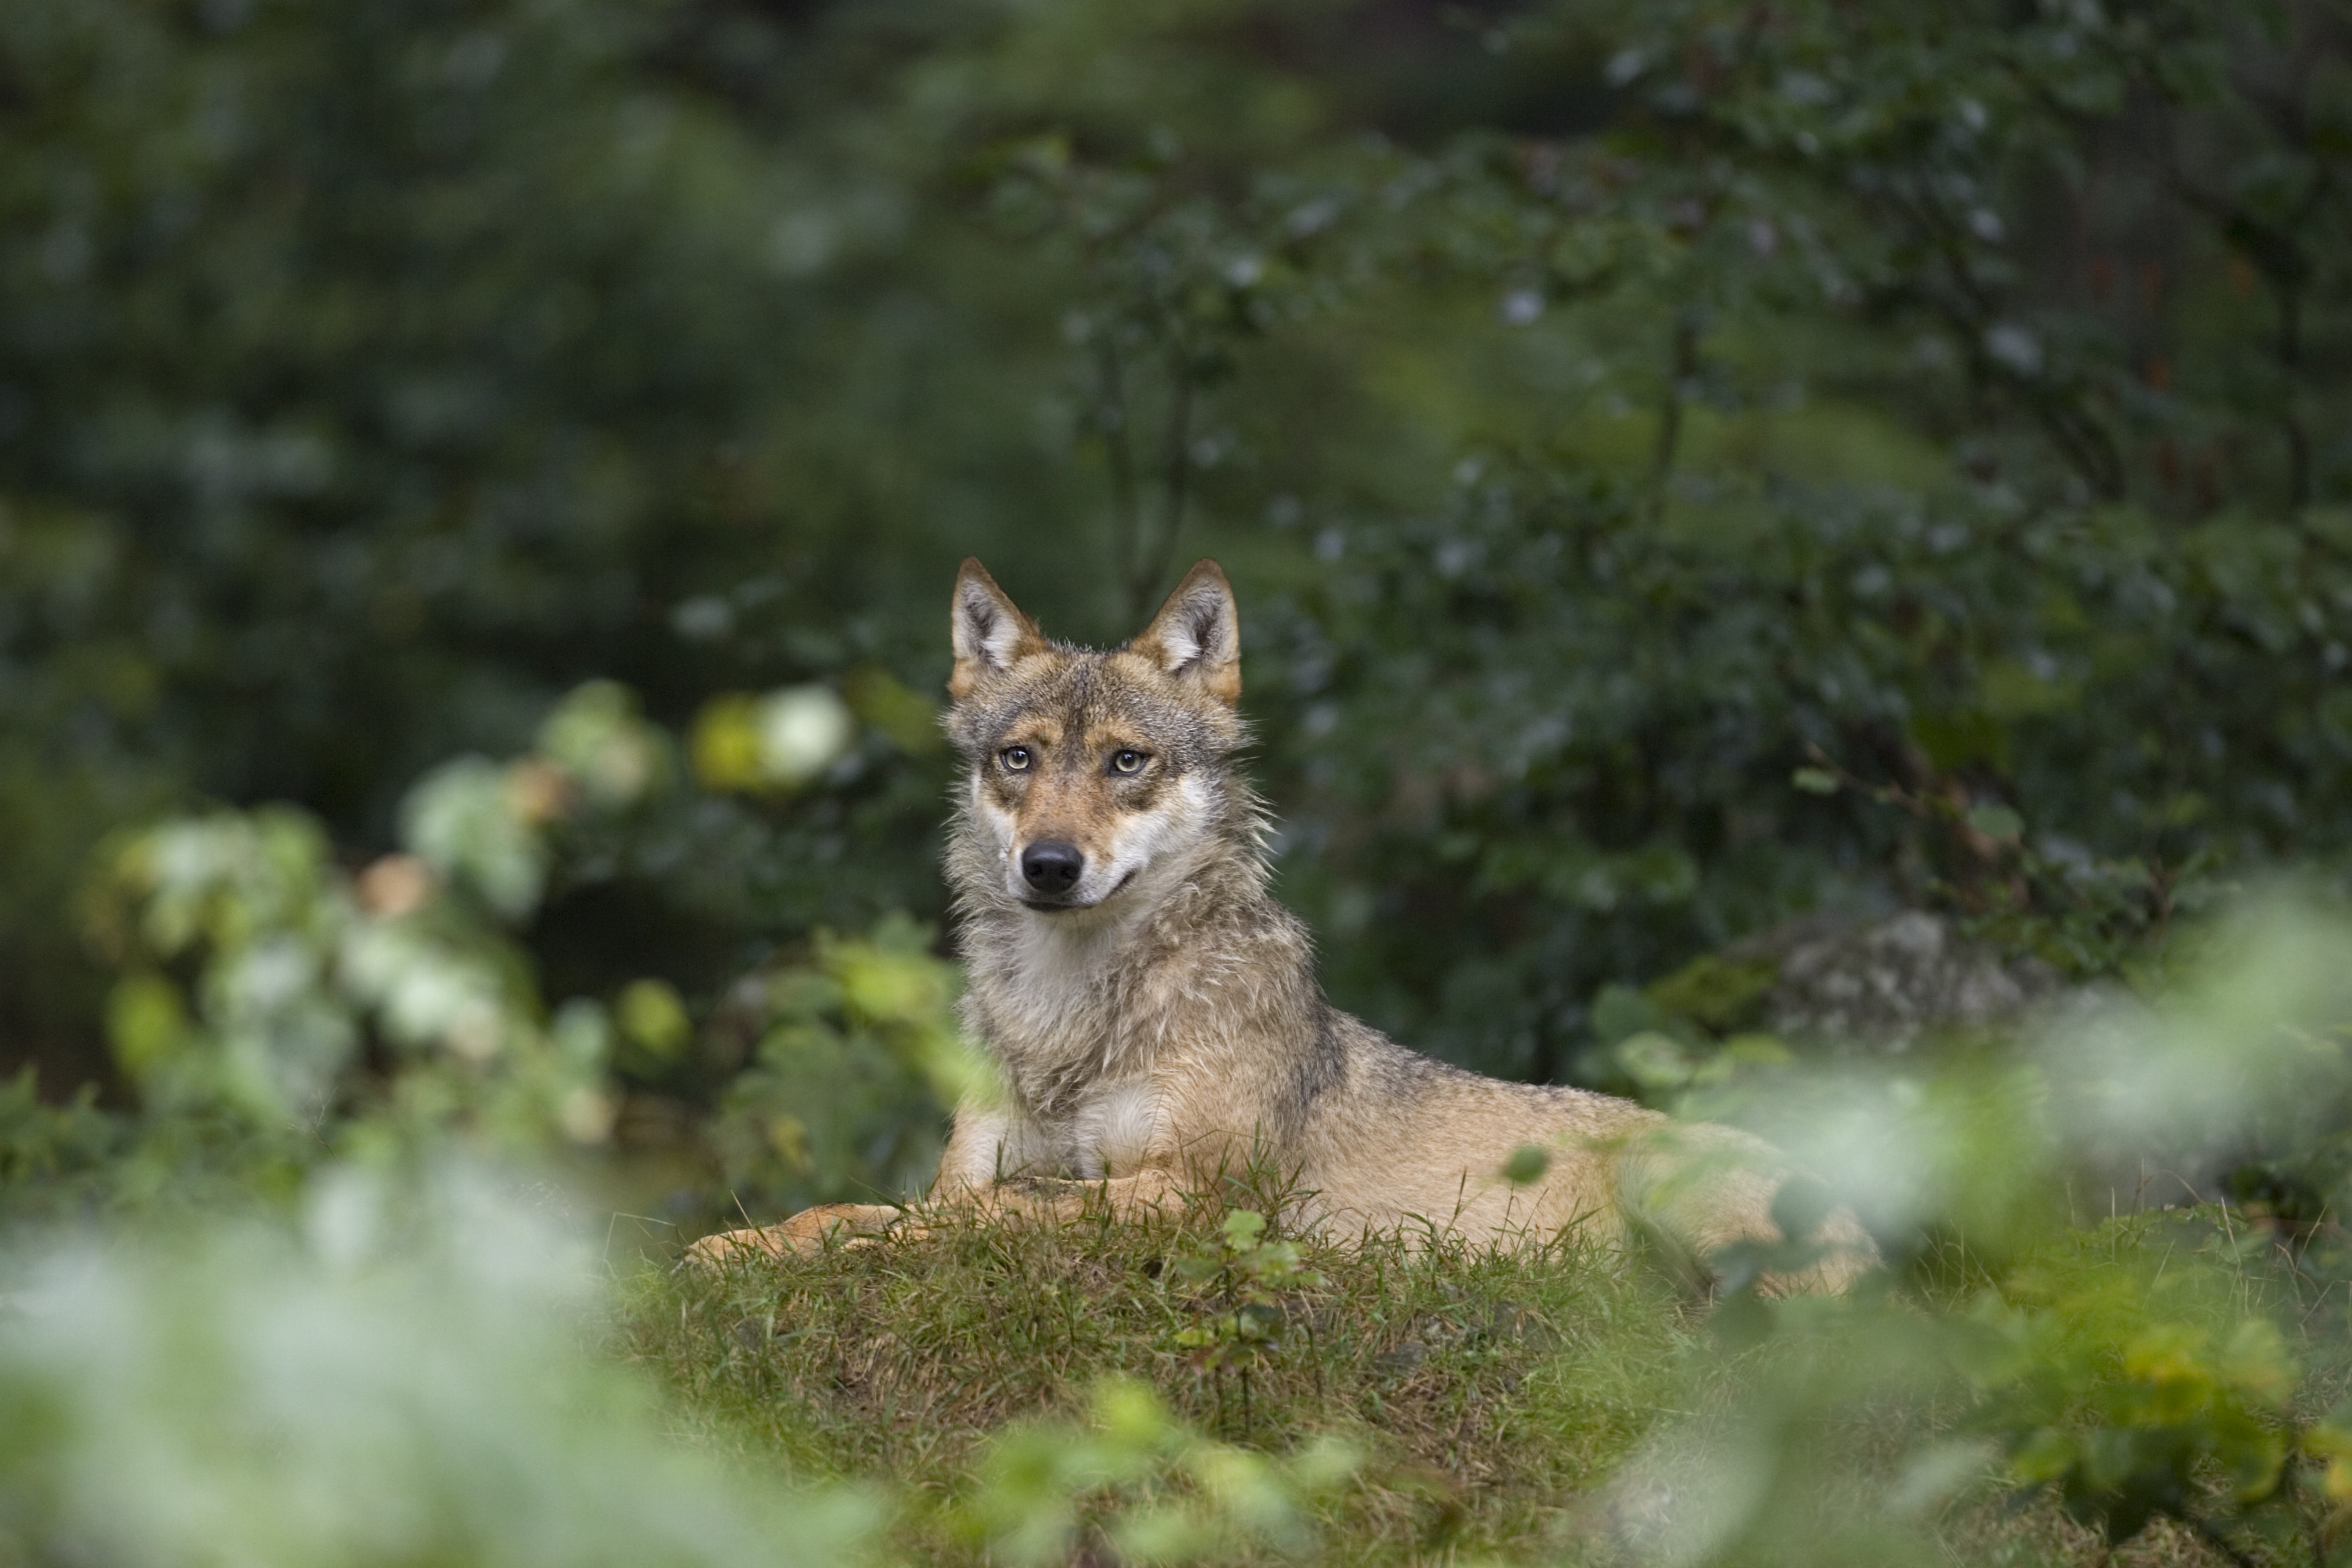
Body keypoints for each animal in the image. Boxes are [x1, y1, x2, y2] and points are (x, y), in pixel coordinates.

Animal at [691, 557, 1872, 1297]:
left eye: (1126, 761)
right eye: (1018, 758)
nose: (1050, 866)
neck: (1074, 1019)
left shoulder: (1192, 1197)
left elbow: (984, 1217)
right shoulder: (976, 1165)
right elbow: (860, 1212)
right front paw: (742, 1246)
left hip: (1670, 1189)